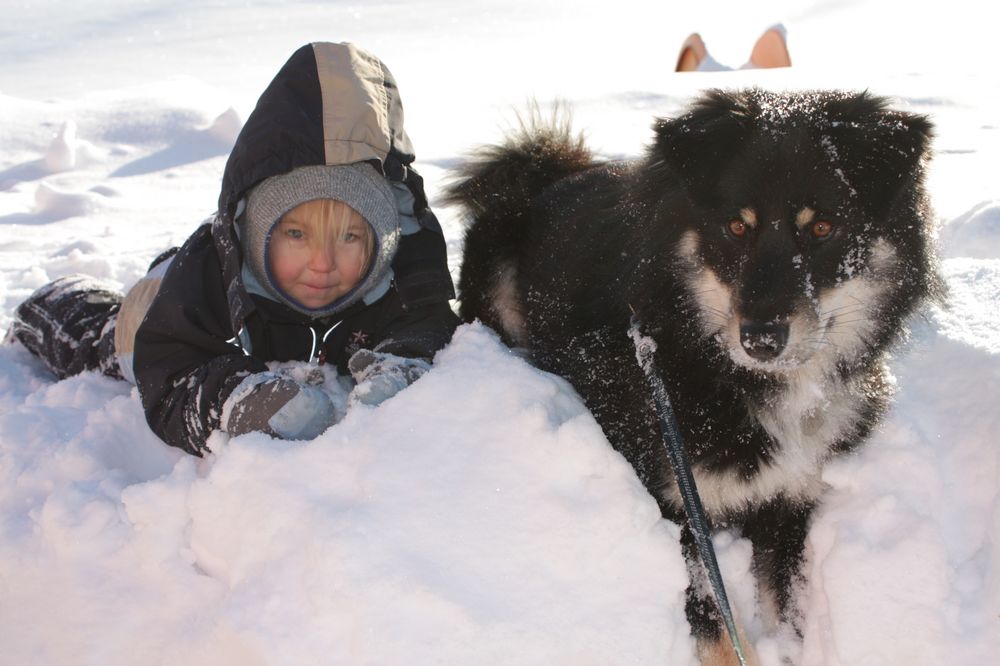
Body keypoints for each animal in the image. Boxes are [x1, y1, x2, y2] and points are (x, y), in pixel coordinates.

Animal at [450, 89, 940, 664]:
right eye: (737, 227)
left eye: (822, 228)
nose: (761, 340)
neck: (726, 375)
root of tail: (549, 175)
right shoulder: (676, 508)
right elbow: (717, 625)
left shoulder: (791, 501)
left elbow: (787, 616)